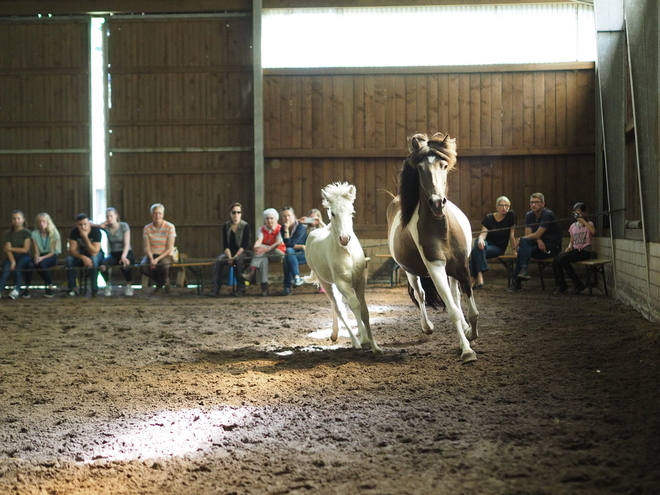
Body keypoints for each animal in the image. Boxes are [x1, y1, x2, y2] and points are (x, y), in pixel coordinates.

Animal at [304, 182, 382, 352]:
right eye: (332, 213)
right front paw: (364, 340)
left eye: (351, 212)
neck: (347, 253)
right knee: (338, 307)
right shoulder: (341, 282)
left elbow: (364, 310)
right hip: (326, 282)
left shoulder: (360, 281)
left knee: (336, 305)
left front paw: (375, 346)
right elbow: (354, 305)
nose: (345, 239)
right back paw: (354, 341)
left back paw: (336, 334)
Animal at [386, 134, 480, 362]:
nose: (437, 203)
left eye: (444, 165)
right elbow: (452, 311)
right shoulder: (436, 268)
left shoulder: (462, 268)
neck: (441, 229)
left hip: (452, 272)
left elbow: (472, 311)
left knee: (455, 296)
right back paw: (427, 327)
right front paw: (467, 351)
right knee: (420, 294)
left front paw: (470, 334)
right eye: (419, 168)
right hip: (410, 271)